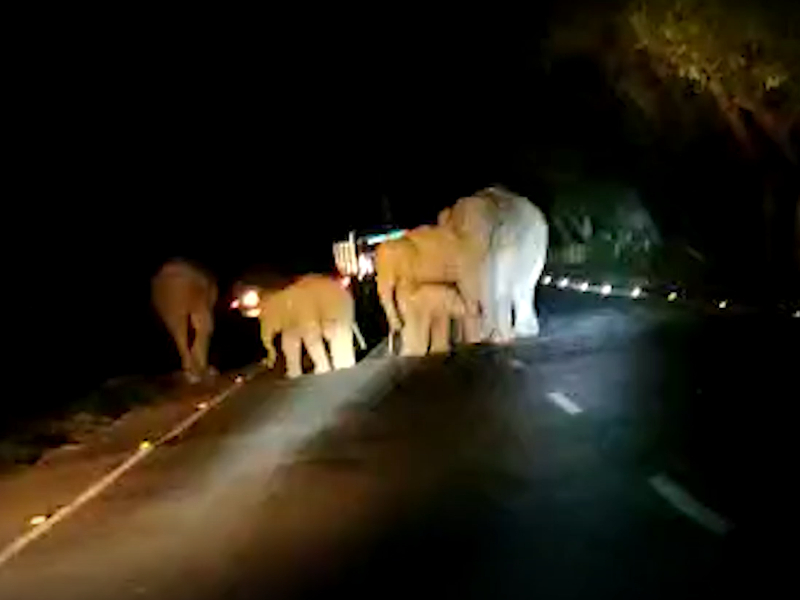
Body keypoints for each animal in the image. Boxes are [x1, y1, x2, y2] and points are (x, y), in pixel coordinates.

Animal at [231, 274, 366, 378]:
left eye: (264, 318)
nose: (266, 364)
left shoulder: (303, 310)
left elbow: (310, 337)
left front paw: (321, 372)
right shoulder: (291, 321)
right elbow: (289, 344)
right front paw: (291, 376)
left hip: (336, 305)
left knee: (335, 331)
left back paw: (344, 365)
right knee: (334, 331)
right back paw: (345, 363)